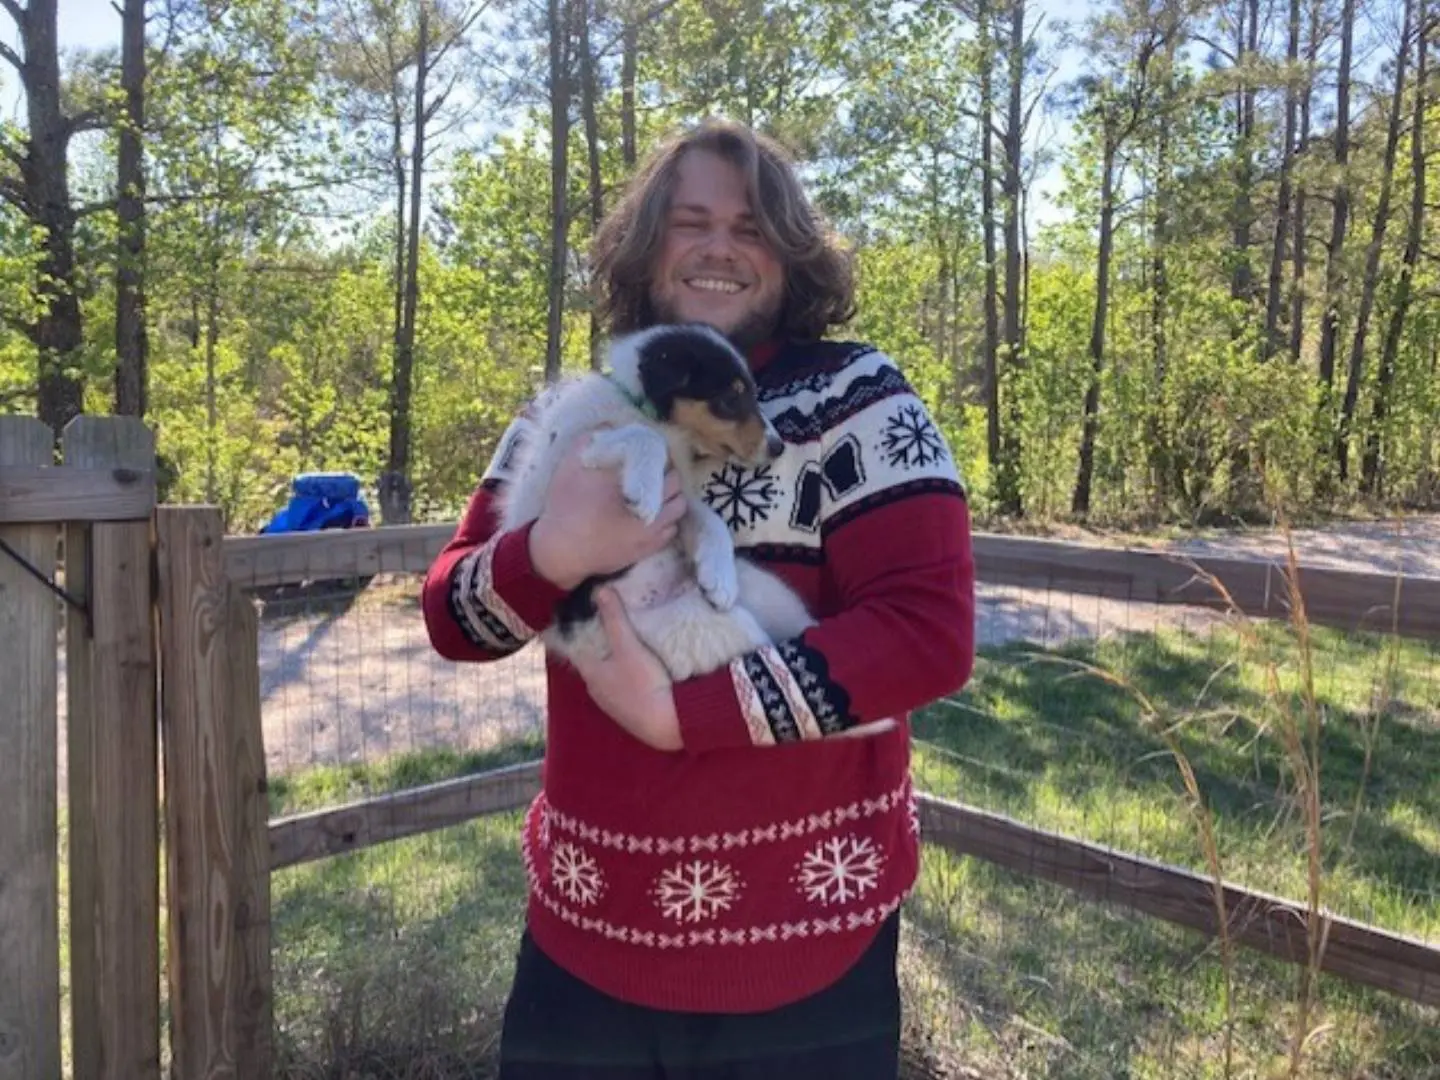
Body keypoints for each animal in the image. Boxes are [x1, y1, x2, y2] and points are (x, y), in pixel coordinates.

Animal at [495, 319, 817, 685]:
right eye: (730, 397)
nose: (778, 447)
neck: (645, 411)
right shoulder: (581, 452)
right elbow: (645, 438)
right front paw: (644, 492)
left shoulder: (680, 497)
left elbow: (710, 520)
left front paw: (720, 578)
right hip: (701, 625)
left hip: (770, 594)